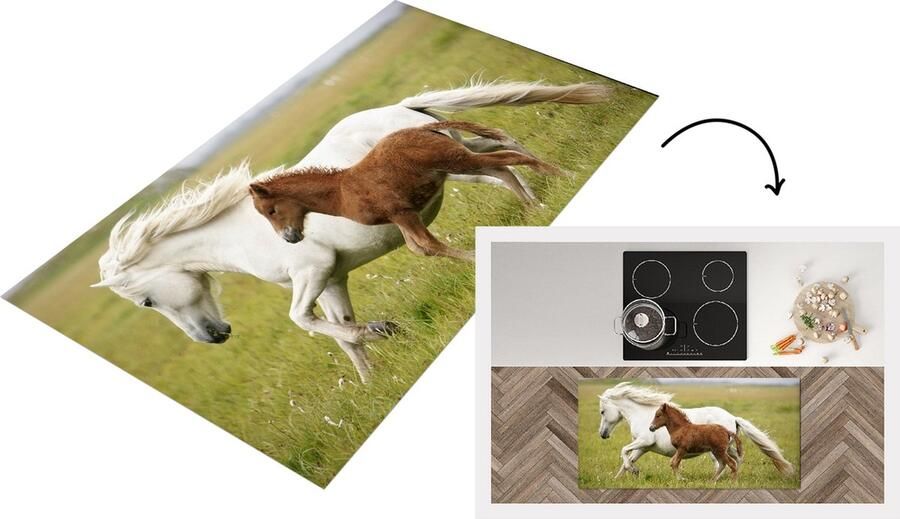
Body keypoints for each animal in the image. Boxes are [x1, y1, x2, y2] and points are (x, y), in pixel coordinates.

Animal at [248, 120, 561, 261]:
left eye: (271, 211)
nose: (290, 238)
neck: (342, 192)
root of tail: (423, 127)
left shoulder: (403, 212)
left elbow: (427, 244)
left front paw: (473, 258)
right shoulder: (397, 218)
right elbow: (417, 248)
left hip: (459, 160)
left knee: (510, 158)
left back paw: (560, 175)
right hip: (458, 162)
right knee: (502, 167)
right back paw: (534, 205)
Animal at [597, 382, 794, 478]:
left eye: (602, 411)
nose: (603, 435)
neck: (643, 415)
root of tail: (733, 417)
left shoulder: (644, 441)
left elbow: (623, 451)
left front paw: (633, 472)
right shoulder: (644, 447)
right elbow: (627, 460)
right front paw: (620, 478)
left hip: (717, 450)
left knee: (724, 462)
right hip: (727, 447)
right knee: (735, 460)